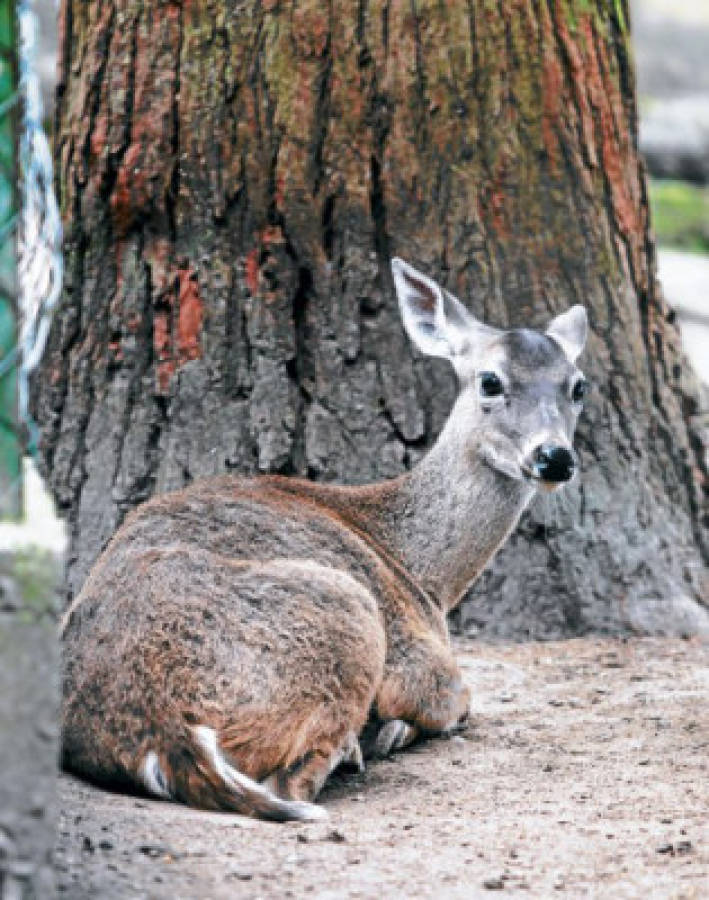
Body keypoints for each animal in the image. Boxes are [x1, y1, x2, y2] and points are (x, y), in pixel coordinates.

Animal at [60, 258, 588, 824]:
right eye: (490, 380)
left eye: (578, 387)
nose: (554, 456)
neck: (424, 574)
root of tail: (166, 731)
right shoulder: (418, 660)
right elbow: (457, 700)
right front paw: (397, 727)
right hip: (349, 610)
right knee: (295, 784)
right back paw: (361, 746)